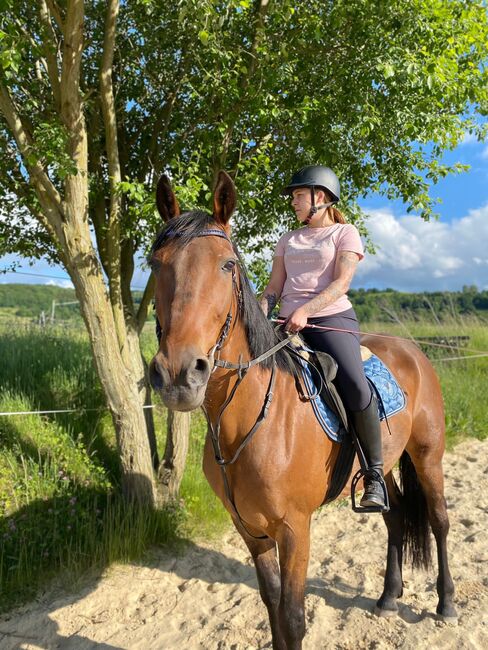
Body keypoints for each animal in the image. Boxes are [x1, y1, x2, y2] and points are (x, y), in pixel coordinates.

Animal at [149, 171, 458, 648]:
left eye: (227, 265)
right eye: (155, 263)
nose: (179, 374)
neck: (250, 423)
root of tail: (413, 350)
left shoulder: (295, 529)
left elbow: (293, 616)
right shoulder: (250, 529)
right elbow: (272, 606)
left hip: (428, 455)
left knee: (439, 520)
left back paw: (446, 603)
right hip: (386, 463)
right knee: (394, 517)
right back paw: (389, 597)